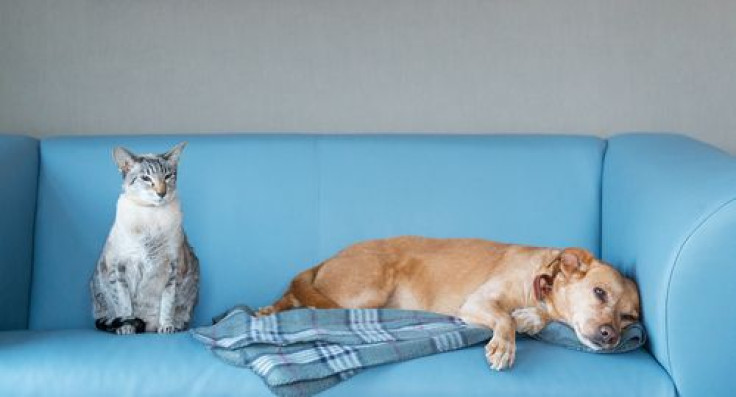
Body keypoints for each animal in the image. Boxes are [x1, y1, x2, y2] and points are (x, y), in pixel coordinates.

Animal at [89, 142, 198, 334]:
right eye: (146, 178)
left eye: (168, 176)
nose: (161, 193)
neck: (151, 216)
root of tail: (147, 327)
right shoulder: (119, 269)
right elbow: (125, 306)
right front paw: (127, 329)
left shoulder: (173, 269)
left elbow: (168, 303)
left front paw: (166, 326)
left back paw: (172, 325)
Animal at [258, 235, 640, 368]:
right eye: (600, 292)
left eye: (628, 318)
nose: (610, 337)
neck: (541, 284)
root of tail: (326, 260)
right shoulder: (477, 302)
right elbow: (505, 319)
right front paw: (505, 345)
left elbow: (525, 317)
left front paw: (530, 319)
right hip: (366, 291)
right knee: (302, 299)